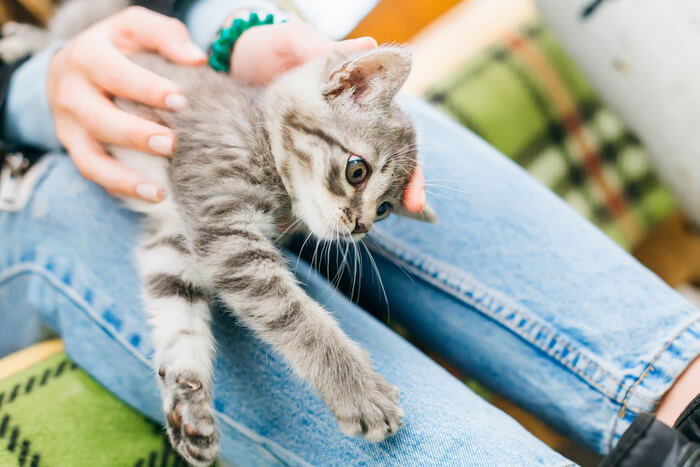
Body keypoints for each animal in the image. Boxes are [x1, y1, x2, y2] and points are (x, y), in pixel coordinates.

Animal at [1, 4, 438, 467]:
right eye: (358, 171)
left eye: (384, 209)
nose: (361, 227)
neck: (261, 135)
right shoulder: (226, 230)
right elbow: (297, 317)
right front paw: (358, 389)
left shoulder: (176, 236)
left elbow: (175, 307)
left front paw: (187, 400)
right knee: (60, 31)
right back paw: (22, 41)